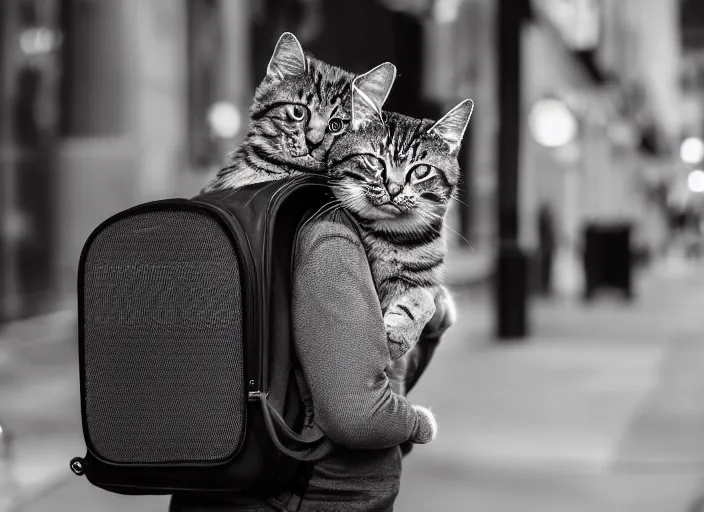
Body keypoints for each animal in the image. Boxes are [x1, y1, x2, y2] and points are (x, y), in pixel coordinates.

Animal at [328, 83, 472, 392]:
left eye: (421, 170)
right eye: (374, 160)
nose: (393, 189)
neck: (393, 238)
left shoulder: (424, 285)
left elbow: (422, 299)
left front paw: (400, 332)